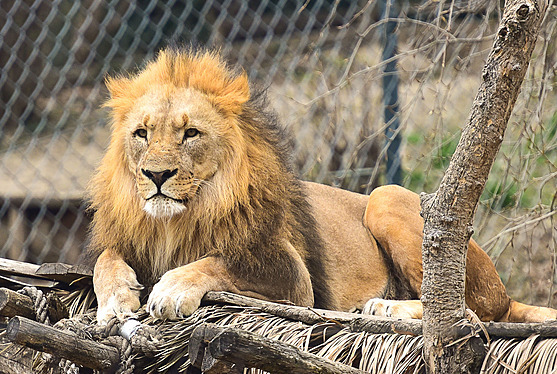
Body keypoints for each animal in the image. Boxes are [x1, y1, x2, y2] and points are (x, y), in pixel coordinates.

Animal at [88, 47, 556, 324]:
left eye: (190, 134)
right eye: (142, 134)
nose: (156, 176)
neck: (178, 219)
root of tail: (505, 292)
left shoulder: (292, 278)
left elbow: (216, 262)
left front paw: (170, 289)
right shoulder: (133, 240)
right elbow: (104, 261)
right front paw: (114, 300)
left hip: (385, 197)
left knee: (466, 309)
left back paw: (386, 306)